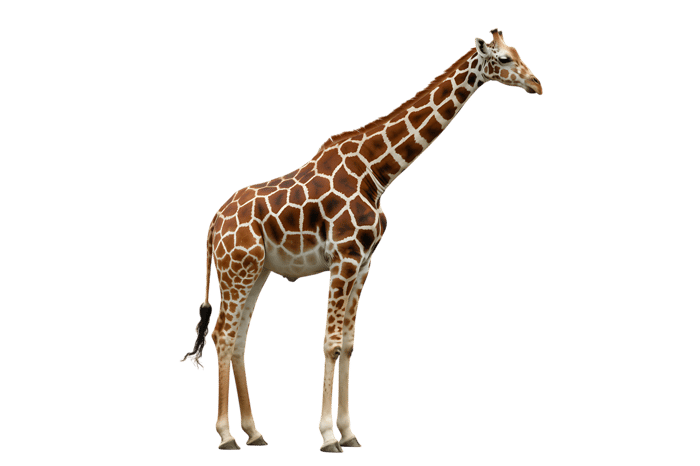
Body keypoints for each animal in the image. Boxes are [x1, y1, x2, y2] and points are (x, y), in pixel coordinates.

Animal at [179, 28, 543, 453]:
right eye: (503, 59)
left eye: (516, 52)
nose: (537, 83)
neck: (377, 171)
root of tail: (214, 222)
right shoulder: (344, 258)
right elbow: (331, 342)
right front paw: (327, 436)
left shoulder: (365, 262)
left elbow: (349, 344)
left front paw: (349, 432)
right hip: (236, 269)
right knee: (222, 334)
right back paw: (225, 435)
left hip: (257, 271)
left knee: (238, 337)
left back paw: (254, 431)